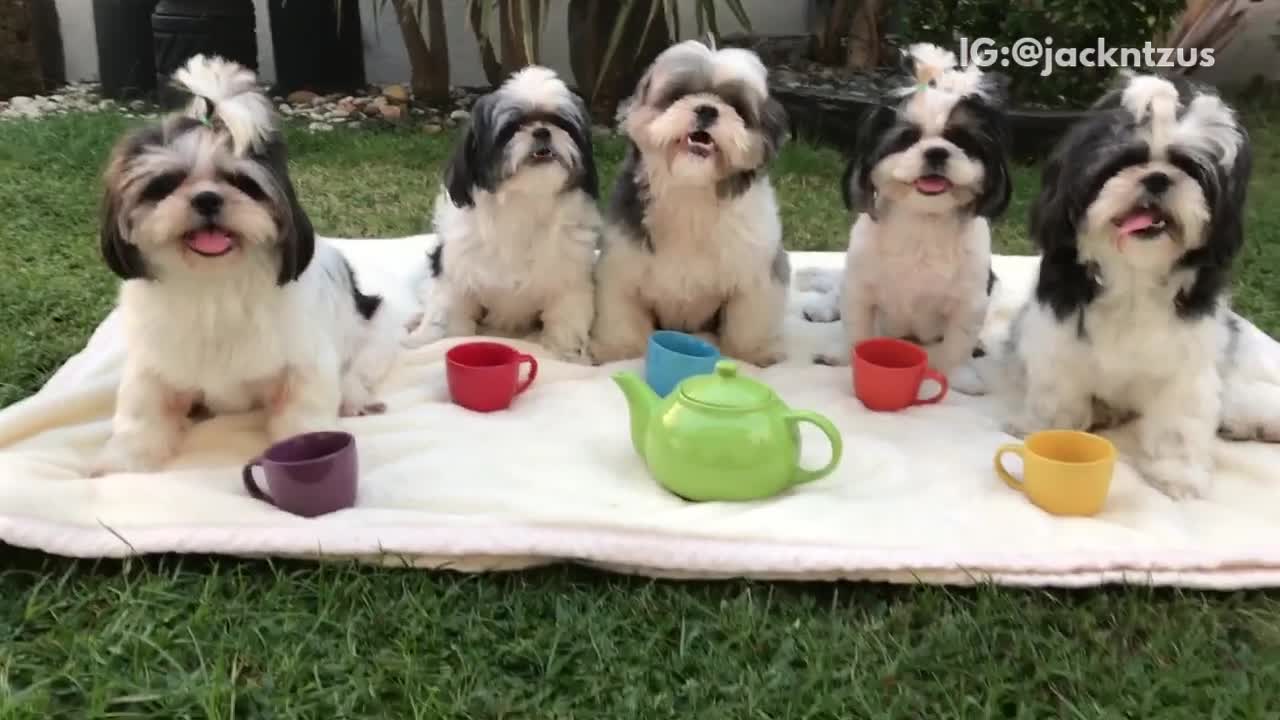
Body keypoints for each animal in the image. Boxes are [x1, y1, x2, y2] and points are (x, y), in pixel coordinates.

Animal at [92, 53, 399, 474]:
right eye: (165, 184)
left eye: (243, 183)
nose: (207, 198)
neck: (215, 283)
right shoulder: (153, 362)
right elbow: (142, 410)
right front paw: (124, 461)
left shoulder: (304, 360)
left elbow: (303, 410)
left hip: (376, 329)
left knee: (356, 368)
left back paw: (354, 396)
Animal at [407, 64, 606, 361]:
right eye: (512, 128)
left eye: (562, 124)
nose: (542, 131)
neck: (523, 205)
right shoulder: (456, 279)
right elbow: (450, 322)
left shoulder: (569, 285)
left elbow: (566, 323)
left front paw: (566, 354)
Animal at [588, 39, 788, 363]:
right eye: (678, 95)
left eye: (737, 107)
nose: (707, 109)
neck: (691, 191)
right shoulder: (621, 268)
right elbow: (622, 314)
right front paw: (618, 349)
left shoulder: (756, 272)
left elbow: (750, 319)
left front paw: (753, 352)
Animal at [798, 42, 1008, 389]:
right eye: (907, 138)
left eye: (962, 141)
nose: (937, 151)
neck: (922, 224)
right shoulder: (860, 284)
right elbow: (856, 326)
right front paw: (843, 355)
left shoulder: (971, 300)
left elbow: (958, 342)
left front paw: (961, 376)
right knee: (836, 293)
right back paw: (824, 308)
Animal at [998, 74, 1280, 499]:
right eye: (1123, 162)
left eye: (1190, 168)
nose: (1157, 177)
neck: (1134, 272)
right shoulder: (1057, 338)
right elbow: (1058, 393)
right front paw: (1043, 431)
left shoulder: (1187, 362)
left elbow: (1180, 423)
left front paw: (1178, 475)